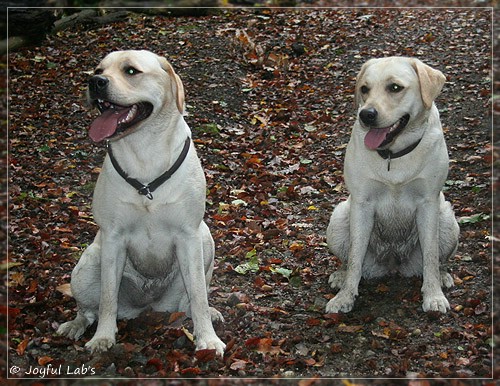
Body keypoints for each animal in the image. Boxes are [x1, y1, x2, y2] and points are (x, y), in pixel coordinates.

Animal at [57, 49, 227, 354]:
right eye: (98, 69)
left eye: (131, 71)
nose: (95, 82)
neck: (145, 147)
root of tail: (148, 306)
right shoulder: (113, 238)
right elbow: (108, 298)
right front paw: (103, 337)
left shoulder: (189, 235)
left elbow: (198, 295)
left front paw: (207, 338)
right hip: (87, 264)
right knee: (88, 309)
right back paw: (76, 325)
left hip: (205, 240)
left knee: (192, 300)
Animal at [326, 58, 458, 316]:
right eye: (364, 89)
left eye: (395, 88)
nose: (366, 114)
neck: (393, 154)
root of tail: (393, 265)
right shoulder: (362, 204)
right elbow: (355, 257)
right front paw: (345, 297)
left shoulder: (428, 202)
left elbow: (430, 254)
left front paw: (434, 296)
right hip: (338, 217)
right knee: (348, 260)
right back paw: (340, 275)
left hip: (448, 218)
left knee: (437, 259)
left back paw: (443, 275)